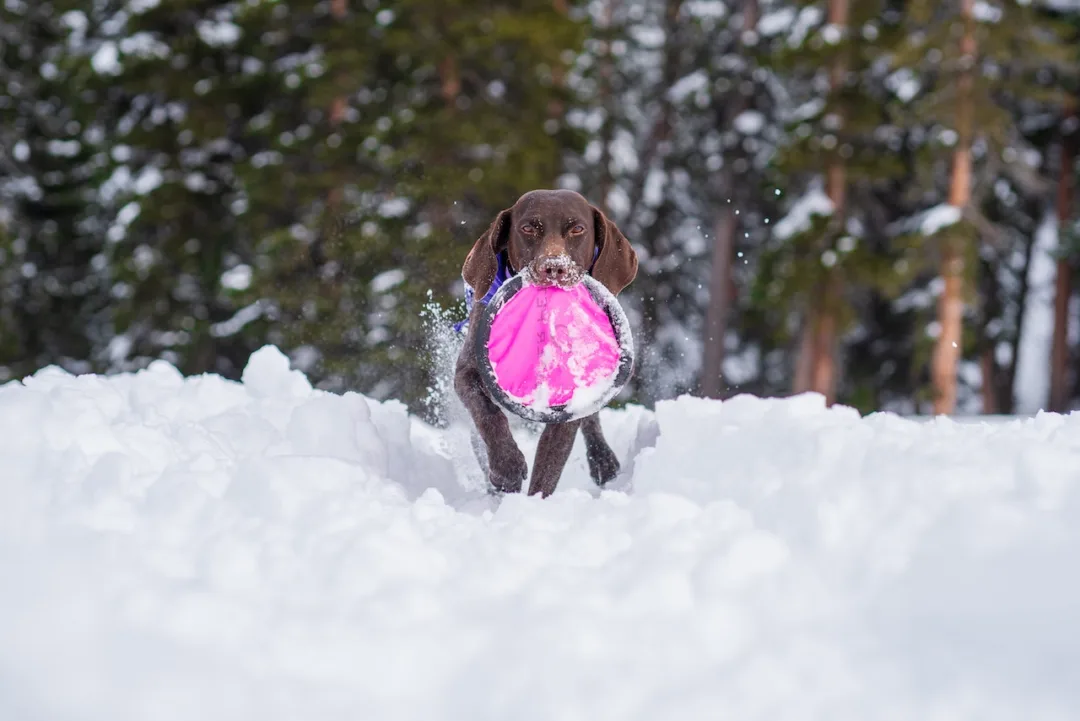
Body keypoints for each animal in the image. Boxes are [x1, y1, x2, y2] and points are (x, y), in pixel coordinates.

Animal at [451, 188, 635, 498]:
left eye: (577, 229)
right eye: (528, 228)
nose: (554, 268)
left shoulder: (568, 407)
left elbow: (549, 465)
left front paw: (534, 502)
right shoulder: (467, 371)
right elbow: (487, 414)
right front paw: (506, 468)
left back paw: (603, 460)